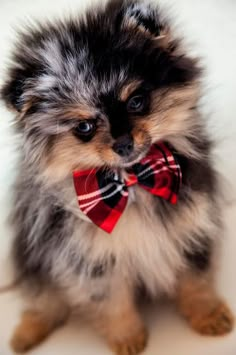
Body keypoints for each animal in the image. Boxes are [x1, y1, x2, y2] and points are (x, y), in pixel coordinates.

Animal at [1, 0, 234, 354]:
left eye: (137, 102)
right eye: (84, 127)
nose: (123, 143)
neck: (130, 181)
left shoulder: (191, 225)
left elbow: (196, 279)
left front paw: (208, 315)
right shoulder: (90, 258)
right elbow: (111, 301)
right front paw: (128, 338)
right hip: (36, 253)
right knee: (44, 299)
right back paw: (26, 333)